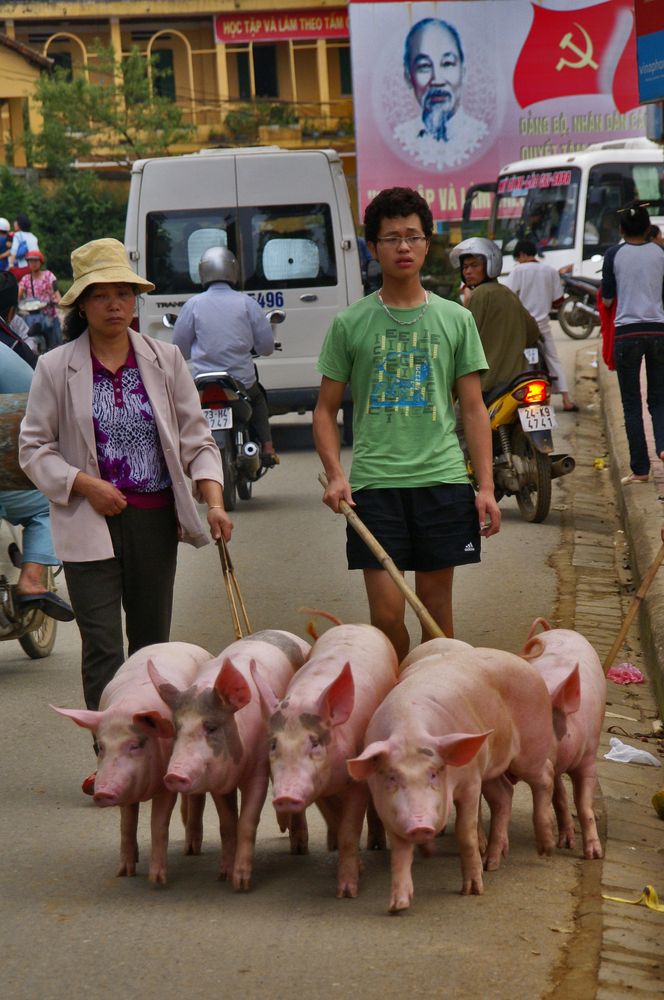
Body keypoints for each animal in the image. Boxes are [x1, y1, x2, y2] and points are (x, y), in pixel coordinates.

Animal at [52, 640, 213, 884]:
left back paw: (192, 850)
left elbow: (158, 824)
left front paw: (157, 880)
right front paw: (124, 873)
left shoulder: (166, 784)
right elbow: (126, 824)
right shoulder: (125, 789)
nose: (101, 792)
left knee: (196, 798)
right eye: (101, 747)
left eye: (136, 745)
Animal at [149, 628, 310, 888]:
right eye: (176, 729)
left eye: (211, 727)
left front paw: (241, 883)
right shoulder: (219, 781)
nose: (173, 775)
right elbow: (227, 825)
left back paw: (298, 848)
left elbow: (246, 822)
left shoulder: (258, 771)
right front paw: (223, 875)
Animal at [250, 624, 396, 900]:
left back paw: (377, 846)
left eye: (315, 743)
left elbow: (350, 830)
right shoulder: (320, 789)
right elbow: (337, 821)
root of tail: (357, 625)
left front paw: (347, 893)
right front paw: (353, 864)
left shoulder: (358, 780)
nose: (285, 796)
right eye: (273, 744)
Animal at [348, 644, 556, 912]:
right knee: (504, 794)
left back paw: (546, 850)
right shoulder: (387, 809)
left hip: (531, 747)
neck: (409, 730)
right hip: (491, 768)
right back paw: (492, 863)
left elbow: (465, 833)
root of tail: (521, 660)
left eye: (434, 773)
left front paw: (473, 891)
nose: (420, 824)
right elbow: (400, 852)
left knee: (546, 776)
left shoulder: (471, 782)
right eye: (392, 777)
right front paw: (398, 906)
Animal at [520, 616, 608, 860]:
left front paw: (593, 855)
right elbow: (558, 798)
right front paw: (565, 845)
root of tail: (554, 630)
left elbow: (583, 803)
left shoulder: (588, 757)